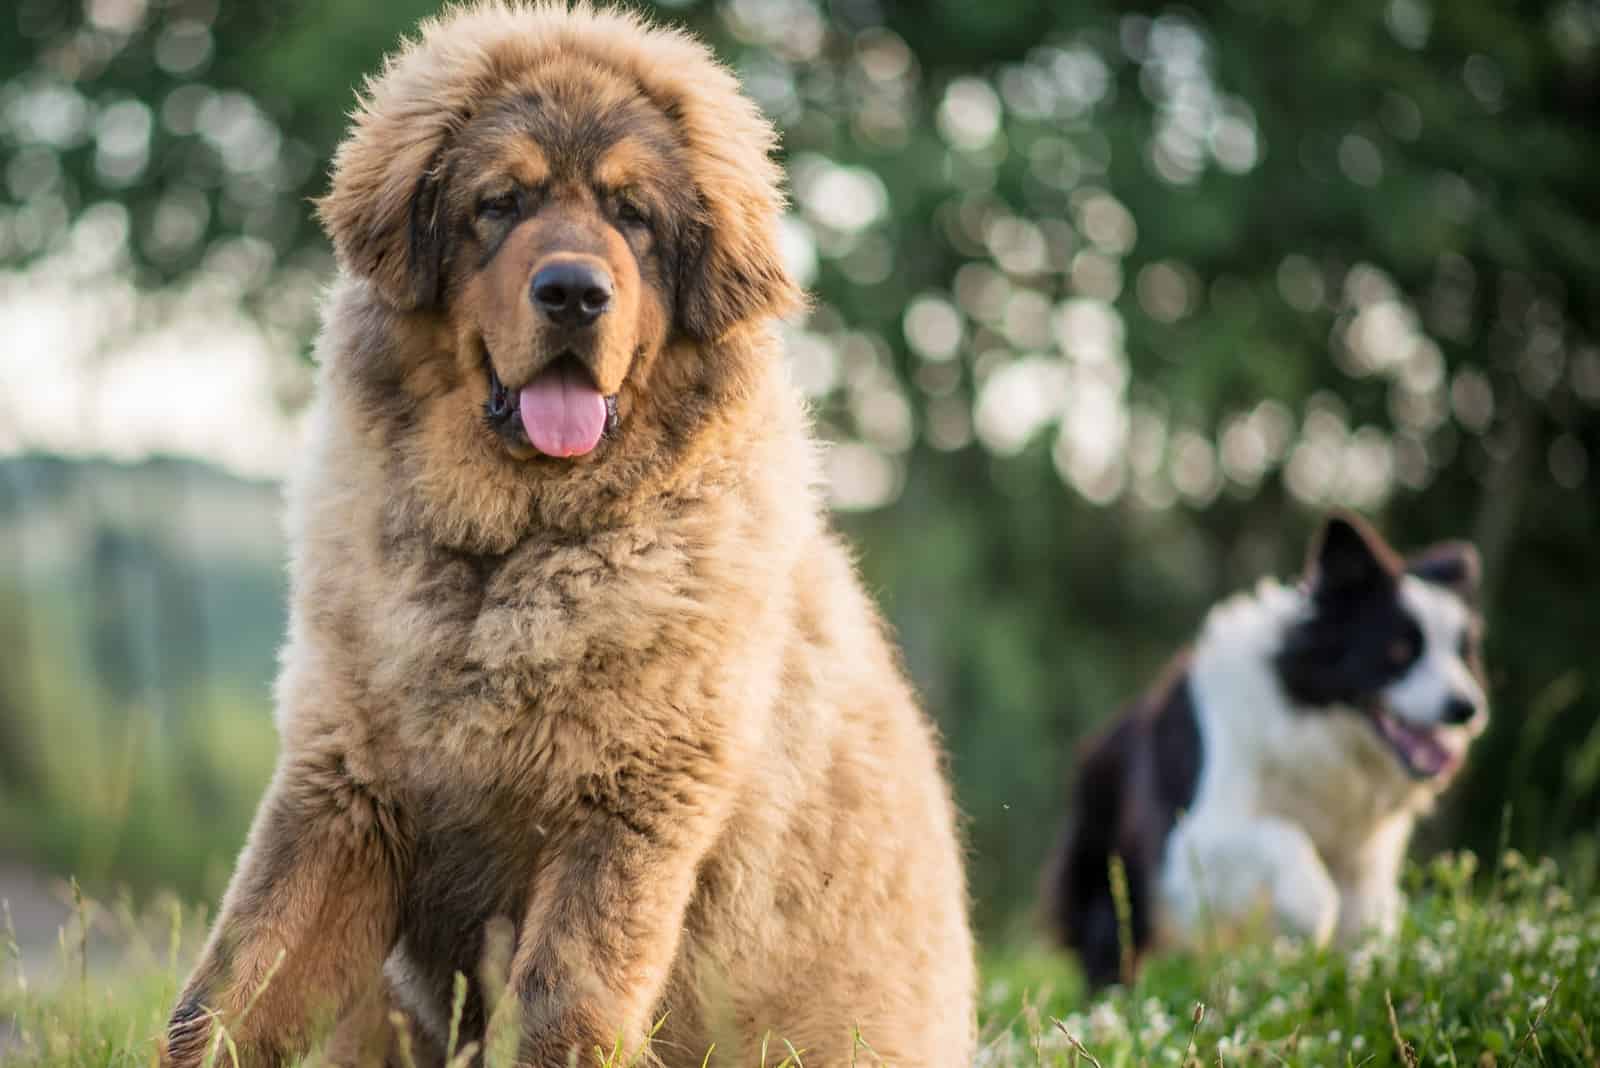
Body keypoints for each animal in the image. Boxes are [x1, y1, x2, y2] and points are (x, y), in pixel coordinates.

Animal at [168, 4, 979, 1061]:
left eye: (634, 215)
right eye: (500, 203)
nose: (573, 293)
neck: (507, 558)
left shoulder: (624, 817)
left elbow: (558, 1007)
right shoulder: (342, 793)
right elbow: (224, 995)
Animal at [1049, 511, 1484, 991]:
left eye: (1464, 655)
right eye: (1399, 650)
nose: (1467, 708)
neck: (1315, 735)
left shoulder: (1365, 864)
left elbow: (1367, 931)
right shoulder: (1187, 844)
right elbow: (1283, 836)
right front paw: (1312, 911)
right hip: (1116, 882)